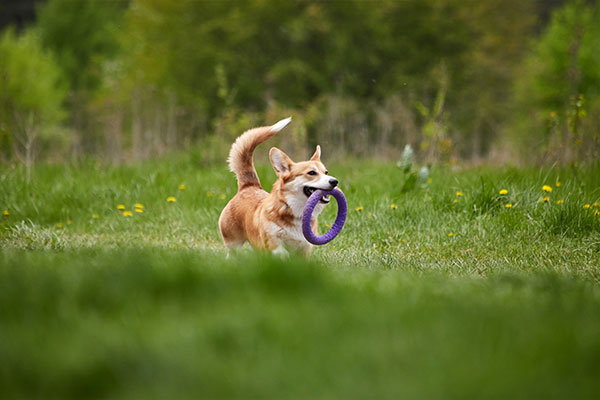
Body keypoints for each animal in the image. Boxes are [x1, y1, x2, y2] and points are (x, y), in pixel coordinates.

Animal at [218, 118, 338, 256]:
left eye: (326, 172)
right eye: (312, 173)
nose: (335, 181)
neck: (294, 211)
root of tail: (249, 186)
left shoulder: (305, 248)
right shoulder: (275, 245)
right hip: (233, 243)